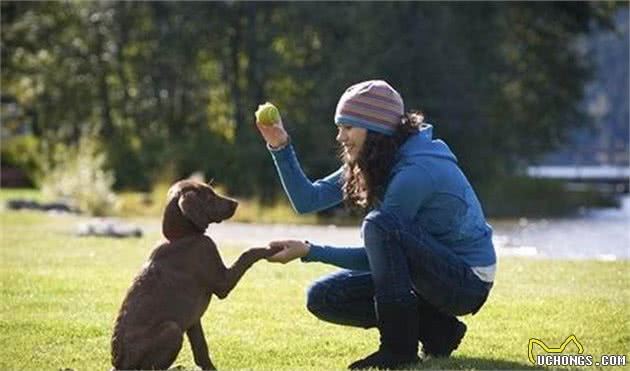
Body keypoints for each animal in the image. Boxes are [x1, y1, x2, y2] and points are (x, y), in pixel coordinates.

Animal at [111, 179, 282, 370]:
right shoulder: (222, 282)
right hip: (172, 329)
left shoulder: (193, 321)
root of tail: (118, 365)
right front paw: (271, 249)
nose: (236, 203)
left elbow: (201, 349)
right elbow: (248, 253)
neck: (182, 236)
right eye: (209, 196)